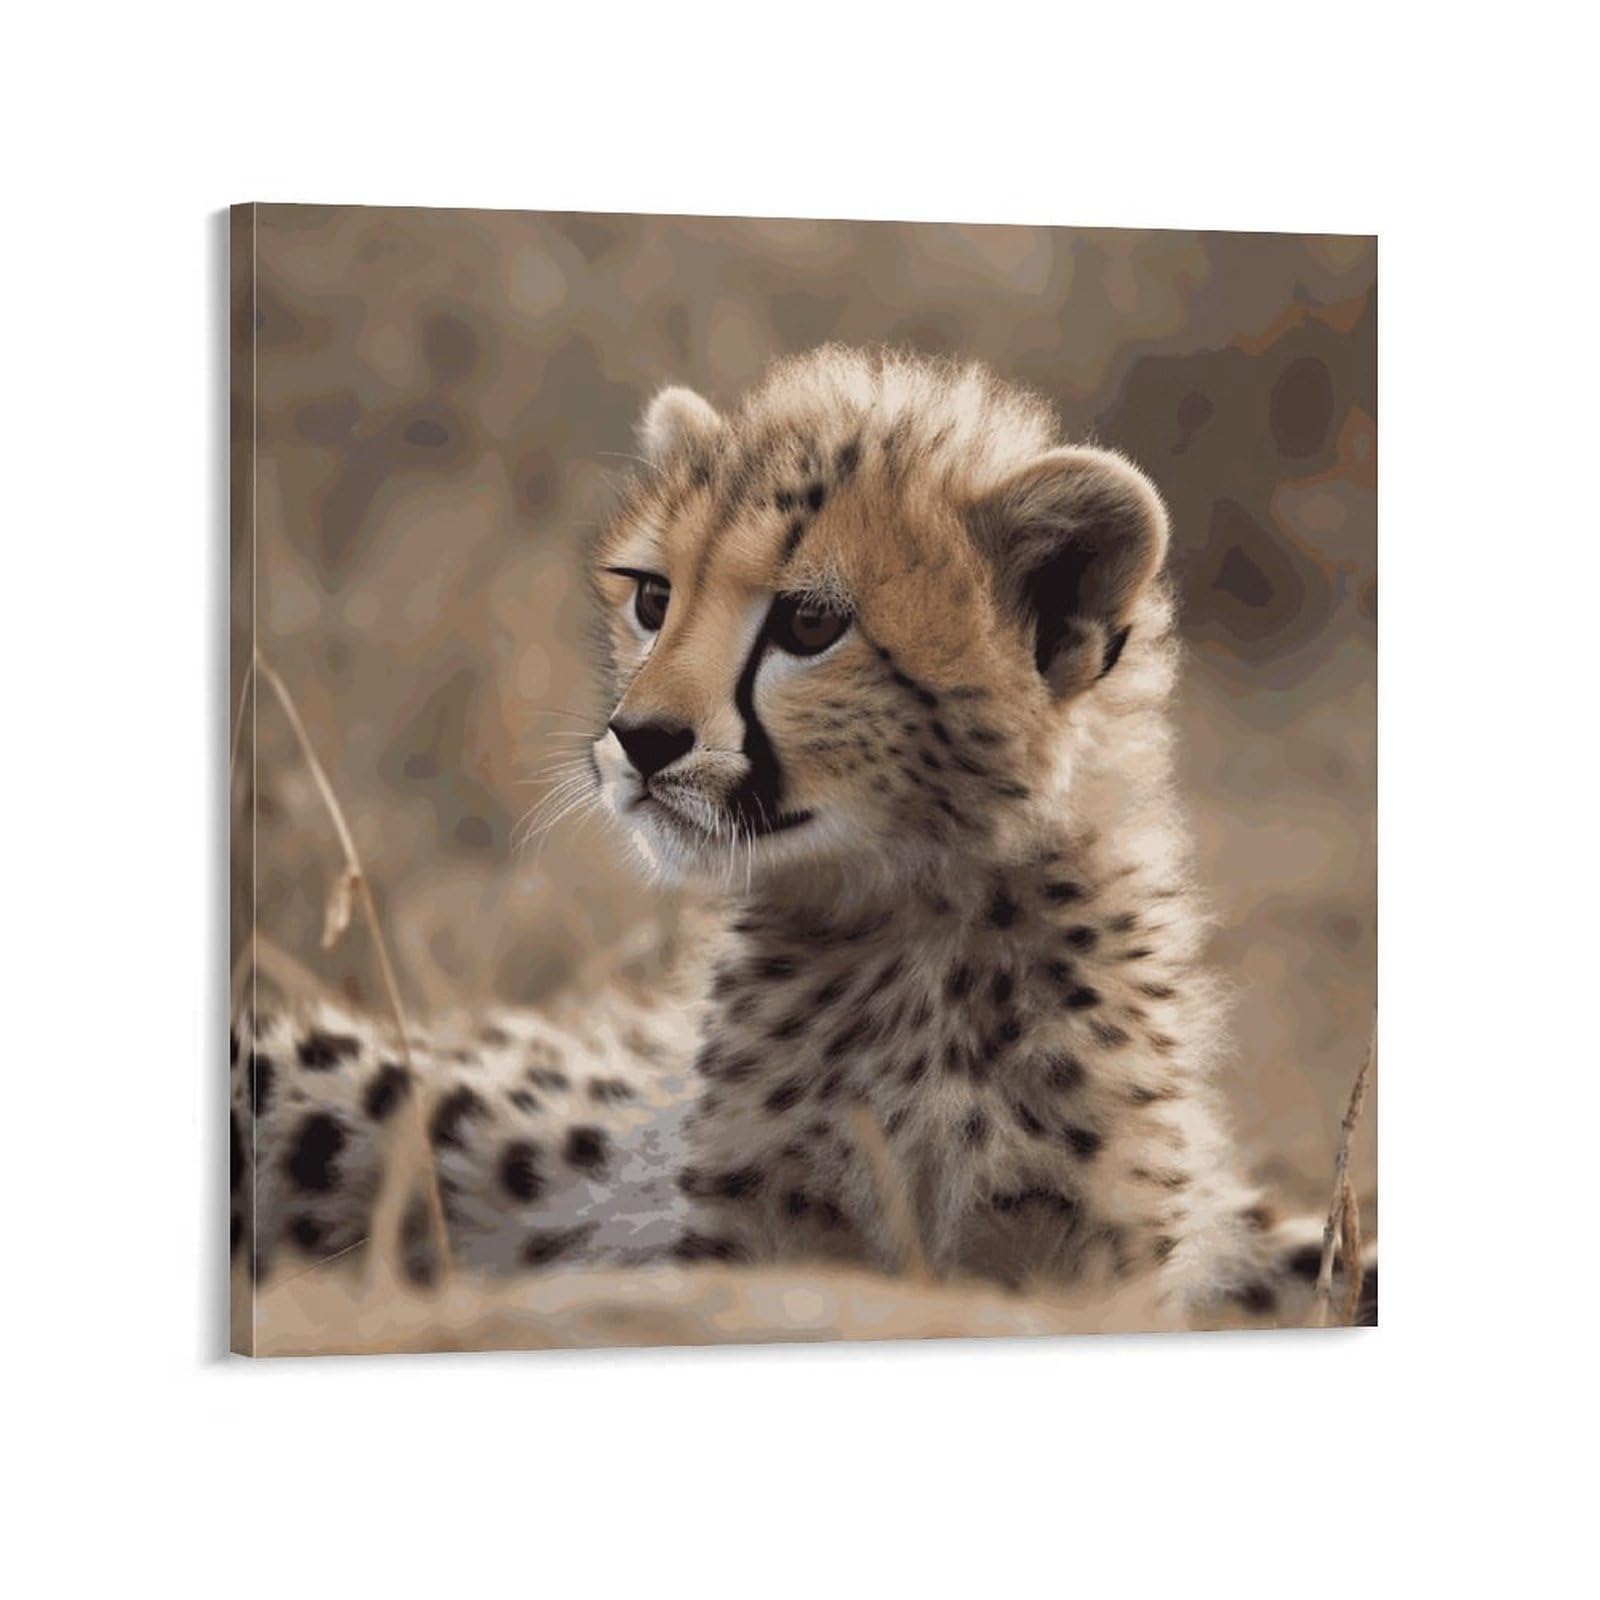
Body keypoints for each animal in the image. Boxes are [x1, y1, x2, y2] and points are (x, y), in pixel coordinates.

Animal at [232, 345, 1374, 1330]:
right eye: (654, 599)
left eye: (811, 624)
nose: (640, 739)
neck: (916, 923)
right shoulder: (741, 1238)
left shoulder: (1091, 1262)